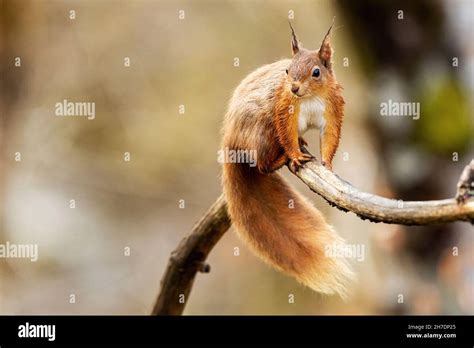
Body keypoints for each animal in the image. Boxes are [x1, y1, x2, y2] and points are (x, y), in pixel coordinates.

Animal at [221, 20, 352, 294]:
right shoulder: (284, 110)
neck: (310, 97)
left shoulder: (333, 109)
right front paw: (294, 155)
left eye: (316, 72)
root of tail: (231, 140)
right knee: (261, 165)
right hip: (263, 132)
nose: (294, 87)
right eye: (287, 70)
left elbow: (330, 138)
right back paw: (280, 158)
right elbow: (287, 133)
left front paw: (328, 165)